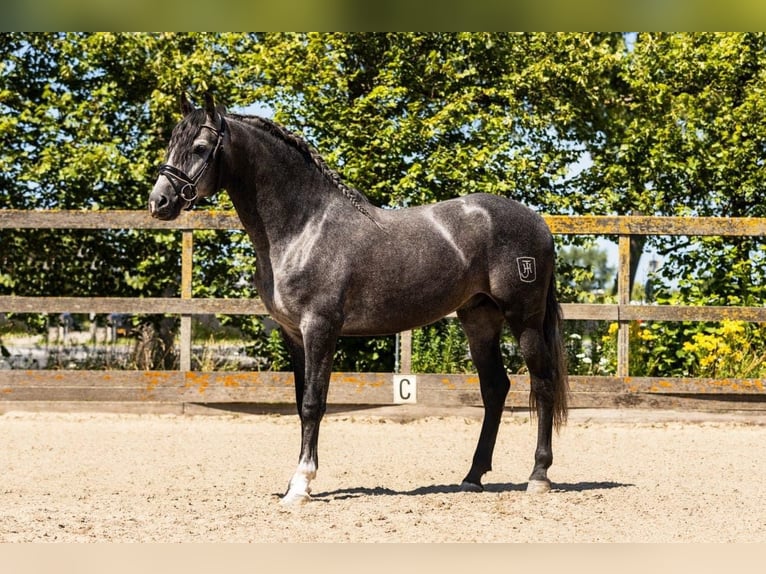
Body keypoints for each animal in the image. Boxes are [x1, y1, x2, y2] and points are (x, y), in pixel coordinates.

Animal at [150, 93, 568, 504]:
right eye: (171, 143)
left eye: (200, 147)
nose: (159, 202)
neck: (304, 227)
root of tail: (540, 223)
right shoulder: (294, 334)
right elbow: (301, 402)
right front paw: (295, 482)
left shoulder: (320, 328)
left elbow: (314, 403)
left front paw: (301, 485)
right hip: (479, 318)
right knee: (495, 388)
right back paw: (472, 477)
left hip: (524, 319)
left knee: (542, 383)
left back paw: (538, 476)